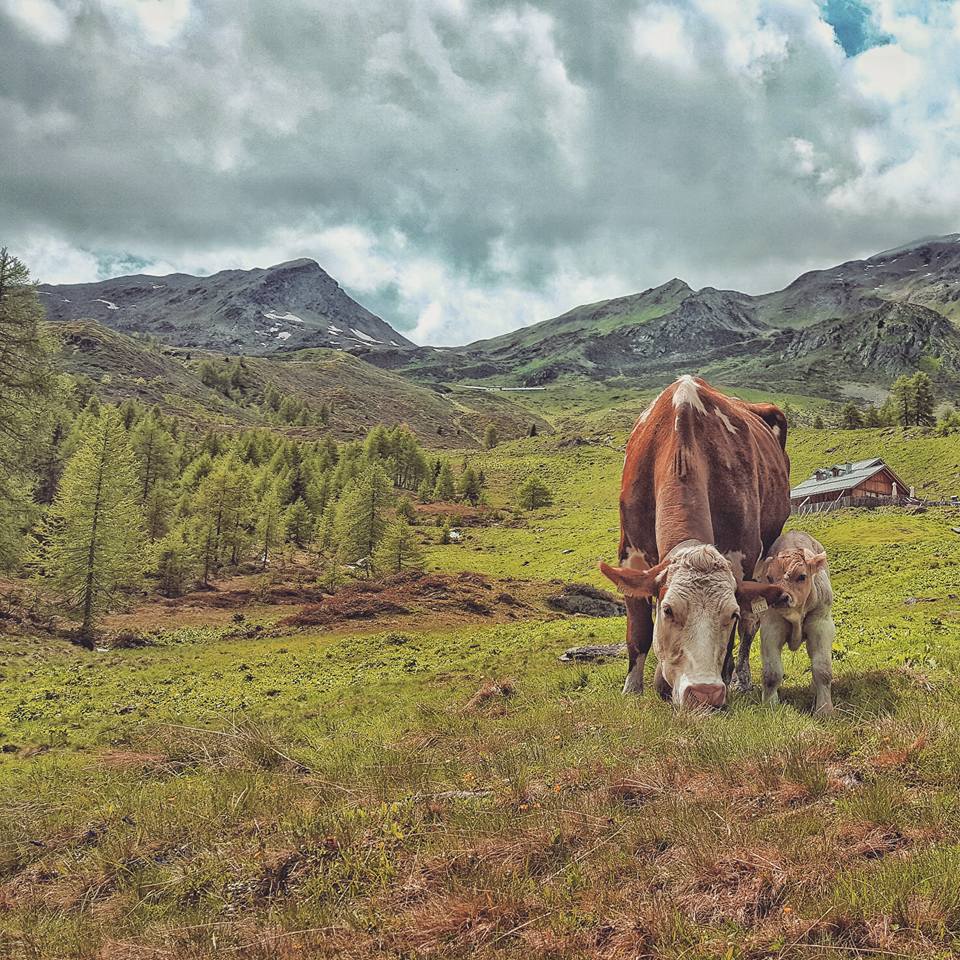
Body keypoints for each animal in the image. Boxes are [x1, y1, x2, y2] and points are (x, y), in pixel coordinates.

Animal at [600, 378, 796, 708]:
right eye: (668, 610)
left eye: (730, 613)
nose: (704, 693)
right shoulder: (631, 556)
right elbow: (639, 632)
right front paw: (632, 688)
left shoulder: (741, 560)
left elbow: (734, 636)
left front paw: (726, 683)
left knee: (751, 625)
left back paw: (742, 679)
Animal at [756, 528, 832, 716]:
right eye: (769, 578)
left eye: (802, 576)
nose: (779, 597)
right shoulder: (771, 628)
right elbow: (772, 673)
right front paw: (770, 705)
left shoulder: (821, 626)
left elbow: (822, 669)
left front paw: (825, 709)